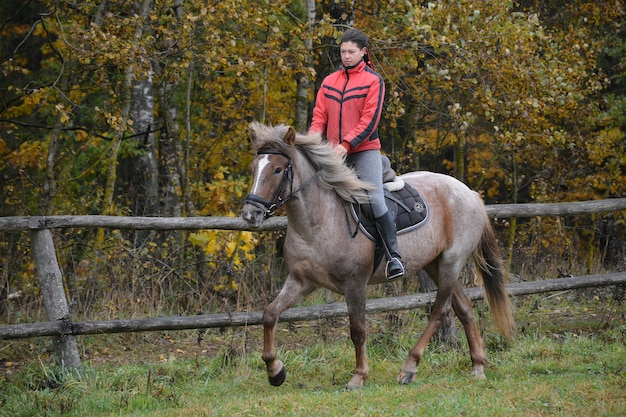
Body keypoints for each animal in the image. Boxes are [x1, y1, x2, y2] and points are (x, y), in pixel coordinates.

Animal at [239, 122, 512, 388]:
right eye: (253, 167)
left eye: (277, 169)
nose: (250, 214)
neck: (318, 221)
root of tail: (469, 193)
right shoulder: (301, 282)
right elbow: (270, 315)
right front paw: (275, 371)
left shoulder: (355, 284)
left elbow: (358, 330)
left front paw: (359, 376)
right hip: (435, 264)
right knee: (464, 308)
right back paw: (477, 367)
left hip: (451, 263)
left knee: (439, 312)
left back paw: (409, 368)